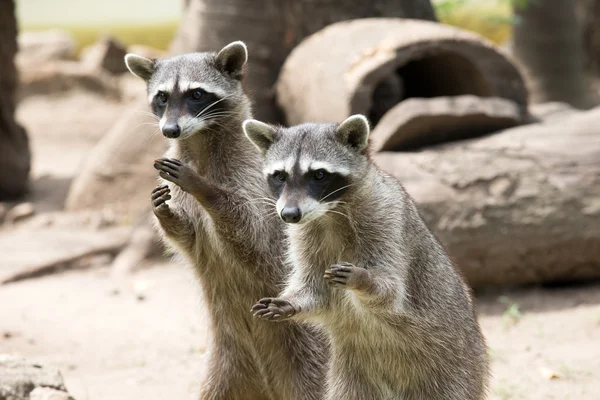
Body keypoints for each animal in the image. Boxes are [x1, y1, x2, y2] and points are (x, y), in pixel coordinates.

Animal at [123, 41, 326, 400]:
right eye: (162, 96)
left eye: (196, 94)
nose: (170, 130)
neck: (200, 142)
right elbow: (187, 238)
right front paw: (164, 213)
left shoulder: (258, 181)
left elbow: (252, 237)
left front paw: (207, 190)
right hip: (225, 366)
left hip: (308, 348)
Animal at [246, 115, 490, 400]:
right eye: (280, 176)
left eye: (319, 175)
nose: (289, 214)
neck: (329, 213)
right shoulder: (304, 236)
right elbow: (315, 290)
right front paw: (290, 302)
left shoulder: (387, 218)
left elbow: (391, 290)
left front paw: (364, 280)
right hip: (352, 375)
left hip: (455, 368)